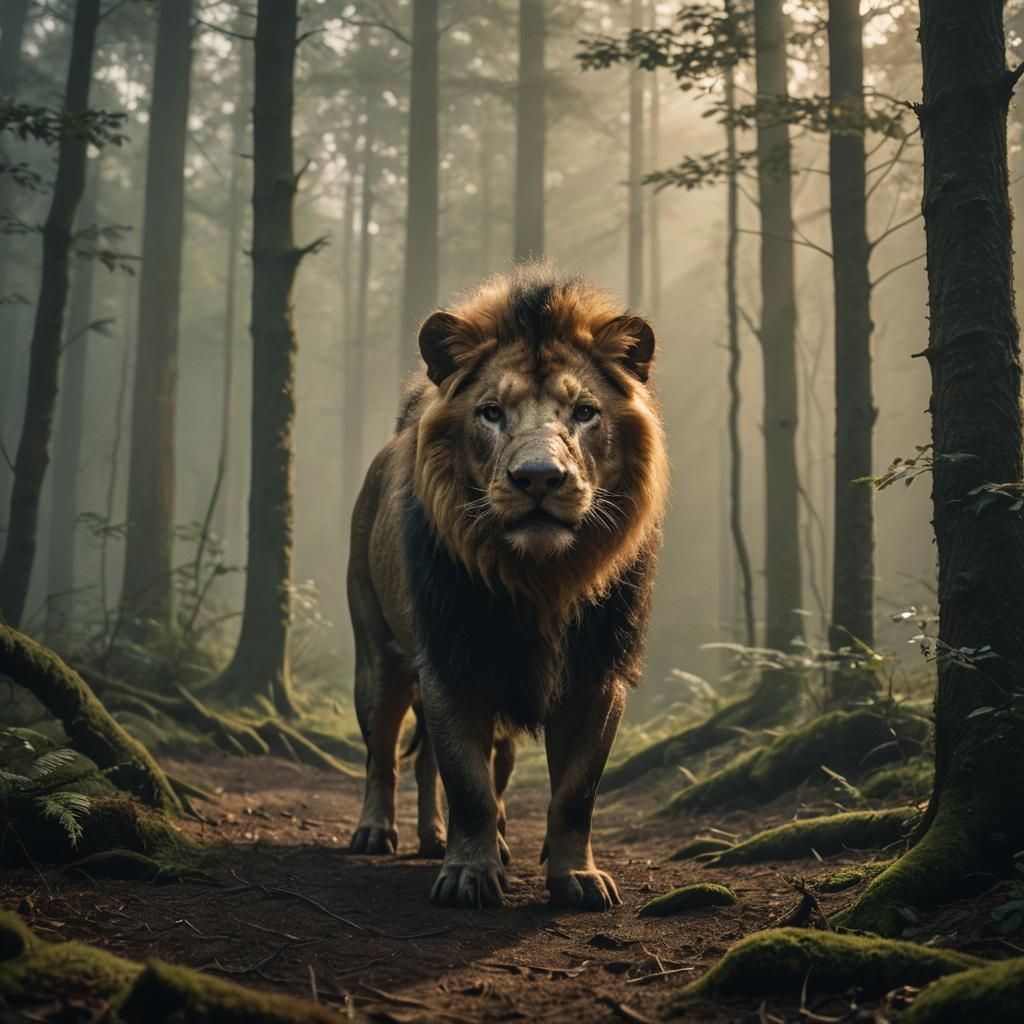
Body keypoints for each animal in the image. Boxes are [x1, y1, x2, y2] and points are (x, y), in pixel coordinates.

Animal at [346, 265, 668, 910]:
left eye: (585, 412)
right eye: (492, 412)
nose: (539, 477)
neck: (541, 578)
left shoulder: (599, 674)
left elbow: (575, 793)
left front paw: (577, 879)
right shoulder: (450, 662)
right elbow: (466, 785)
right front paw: (469, 876)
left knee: (438, 765)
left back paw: (438, 838)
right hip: (378, 658)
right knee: (383, 755)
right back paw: (377, 832)